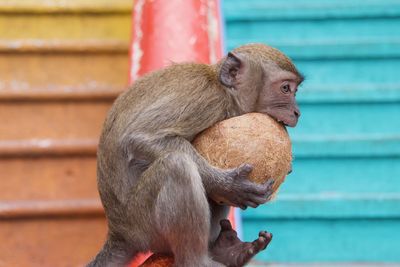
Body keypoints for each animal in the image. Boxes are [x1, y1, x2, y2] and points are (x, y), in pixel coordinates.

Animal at [88, 43, 304, 267]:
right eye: (285, 88)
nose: (297, 112)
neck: (224, 90)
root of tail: (118, 231)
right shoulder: (207, 100)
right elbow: (140, 138)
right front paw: (228, 185)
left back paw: (227, 253)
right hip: (142, 225)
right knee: (176, 166)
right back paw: (196, 260)